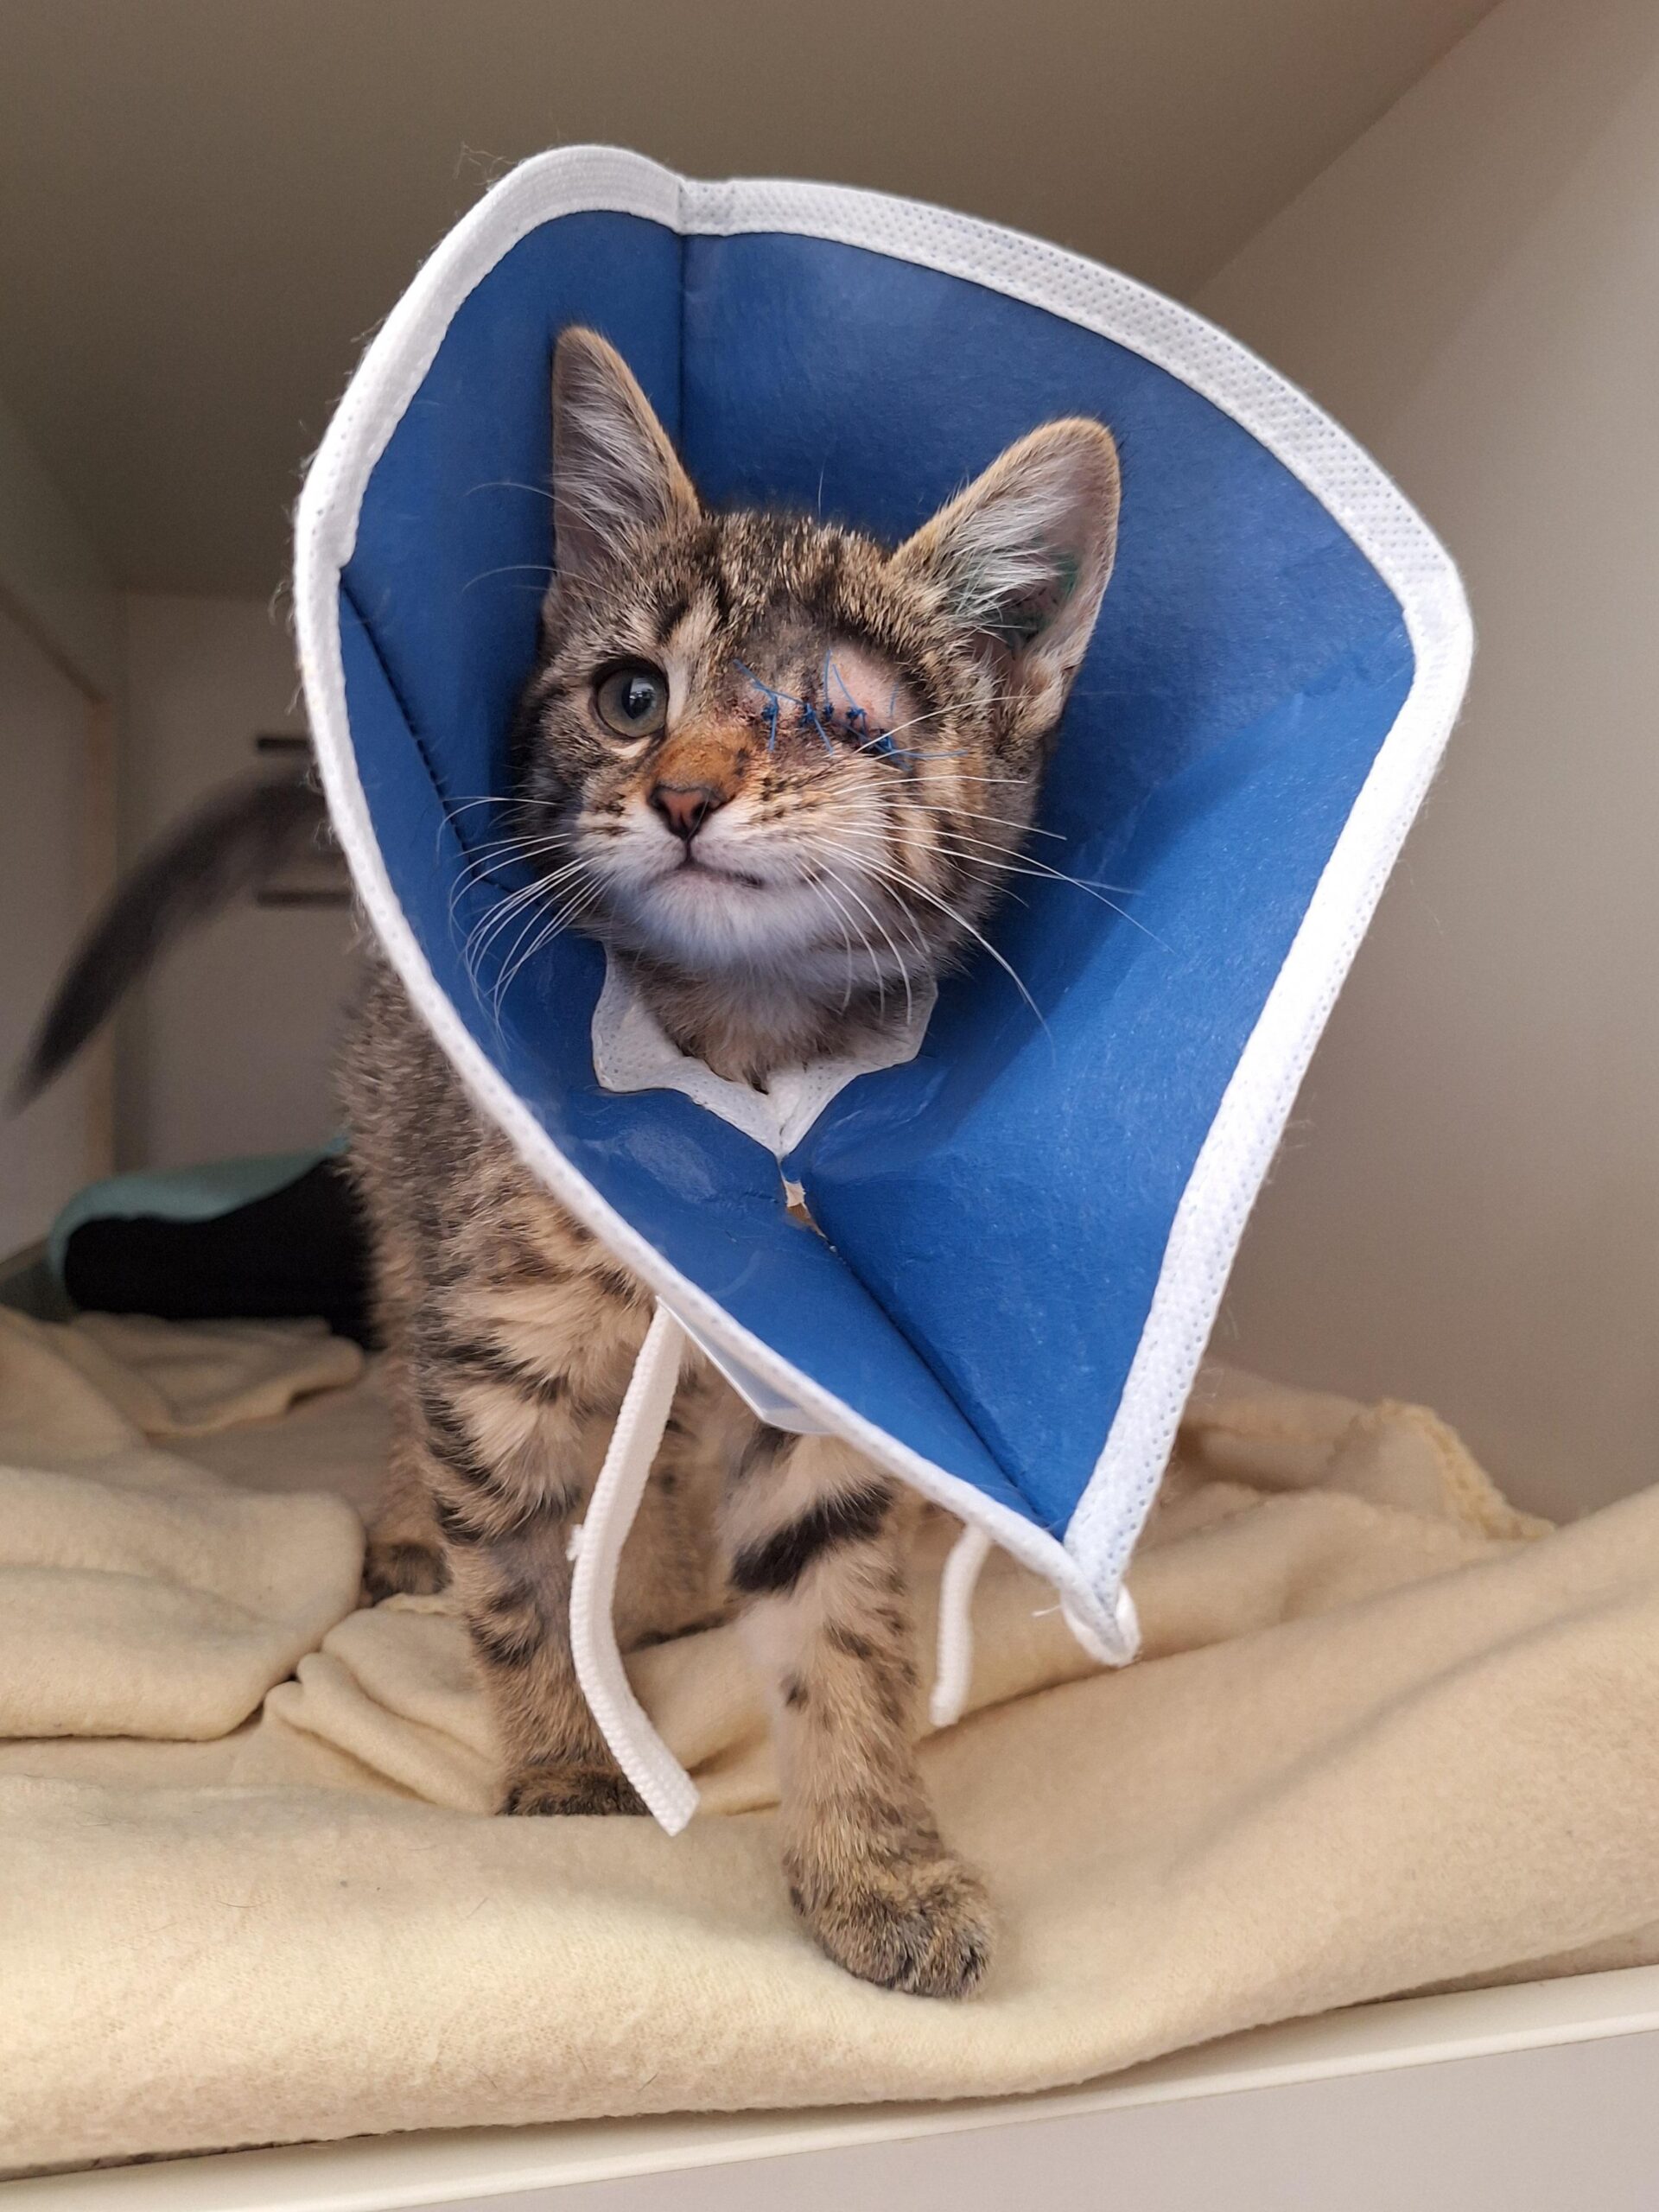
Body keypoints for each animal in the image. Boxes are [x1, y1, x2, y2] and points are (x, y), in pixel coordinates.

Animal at [17, 325, 1119, 1998]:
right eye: (629, 695)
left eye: (838, 717)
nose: (685, 793)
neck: (731, 1053)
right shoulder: (501, 1345)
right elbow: (519, 1572)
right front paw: (563, 1761)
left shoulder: (816, 1371)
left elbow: (838, 1626)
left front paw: (875, 1854)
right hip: (404, 1178)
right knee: (405, 1345)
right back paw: (418, 1530)